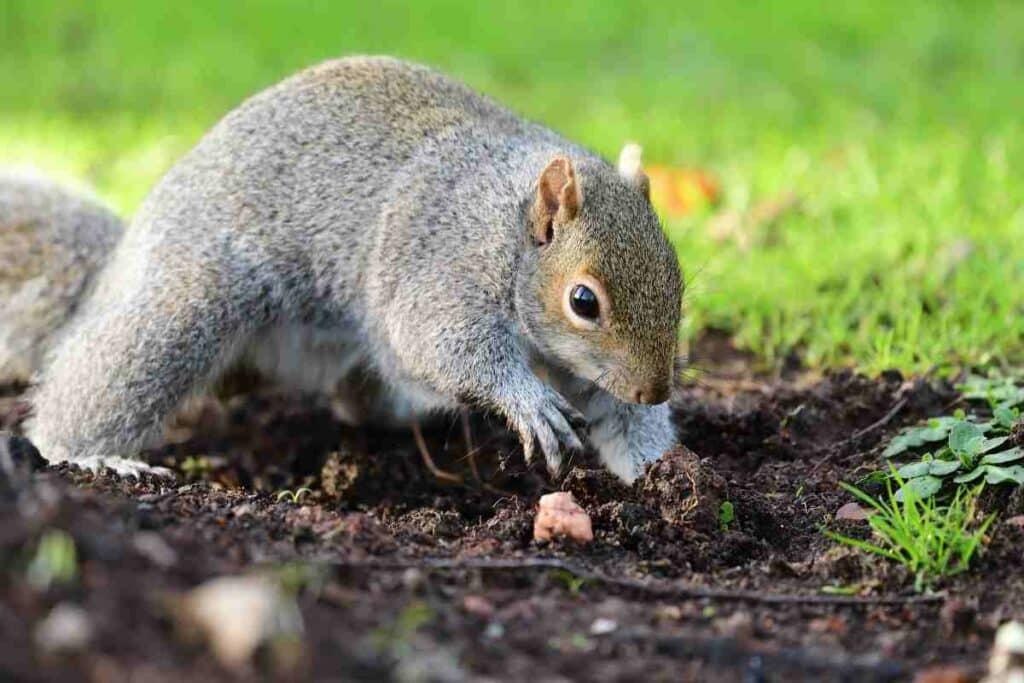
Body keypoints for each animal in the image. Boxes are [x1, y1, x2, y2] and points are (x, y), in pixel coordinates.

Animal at [24, 58, 684, 483]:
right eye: (583, 301)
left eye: (678, 278)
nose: (655, 389)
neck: (508, 227)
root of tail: (121, 260)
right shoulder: (444, 265)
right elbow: (441, 340)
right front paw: (526, 402)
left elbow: (618, 417)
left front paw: (660, 473)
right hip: (189, 299)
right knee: (106, 375)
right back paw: (89, 455)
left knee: (357, 398)